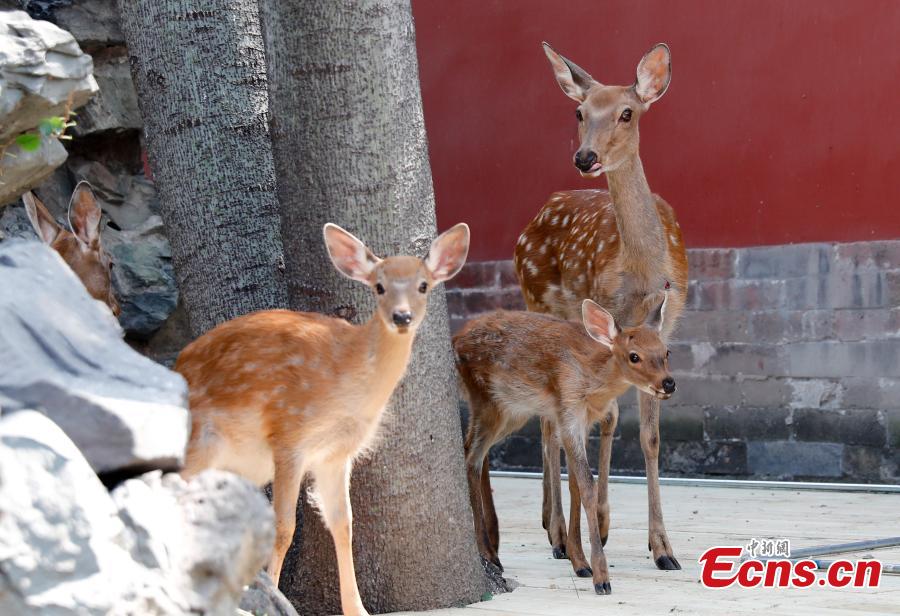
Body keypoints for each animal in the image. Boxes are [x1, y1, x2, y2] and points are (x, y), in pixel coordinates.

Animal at [175, 222, 470, 616]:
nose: (402, 317)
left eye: (423, 285)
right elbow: (283, 527)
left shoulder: (335, 454)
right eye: (379, 286)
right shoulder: (288, 433)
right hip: (200, 442)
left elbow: (343, 523)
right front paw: (280, 600)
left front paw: (357, 608)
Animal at [456, 293, 674, 595]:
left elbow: (575, 486)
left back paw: (493, 546)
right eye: (634, 356)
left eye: (666, 352)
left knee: (475, 452)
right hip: (486, 400)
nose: (669, 383)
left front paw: (579, 561)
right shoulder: (569, 410)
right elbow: (587, 485)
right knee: (470, 456)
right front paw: (600, 576)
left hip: (512, 411)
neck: (593, 383)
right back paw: (489, 554)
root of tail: (456, 339)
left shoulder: (581, 421)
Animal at [513, 42, 688, 574]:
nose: (585, 156)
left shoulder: (664, 330)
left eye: (627, 113)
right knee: (548, 422)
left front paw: (663, 547)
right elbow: (605, 420)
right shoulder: (606, 319)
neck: (644, 274)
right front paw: (603, 526)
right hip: (541, 300)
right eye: (579, 112)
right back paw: (556, 533)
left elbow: (650, 438)